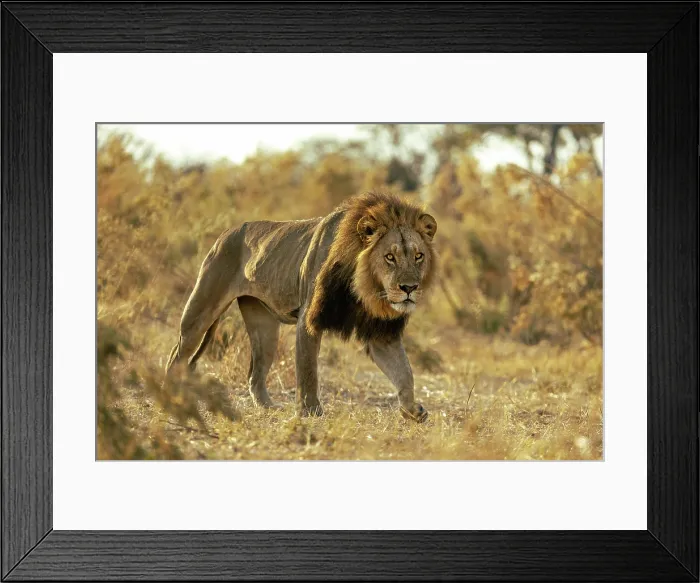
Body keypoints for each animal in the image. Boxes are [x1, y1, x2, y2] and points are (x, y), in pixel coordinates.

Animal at [165, 191, 438, 422]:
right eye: (389, 257)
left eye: (419, 256)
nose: (409, 288)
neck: (365, 289)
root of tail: (225, 232)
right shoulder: (308, 319)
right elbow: (308, 371)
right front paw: (310, 412)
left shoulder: (381, 334)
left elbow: (405, 373)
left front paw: (413, 411)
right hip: (200, 311)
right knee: (176, 356)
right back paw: (171, 392)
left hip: (264, 327)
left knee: (255, 374)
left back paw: (269, 408)